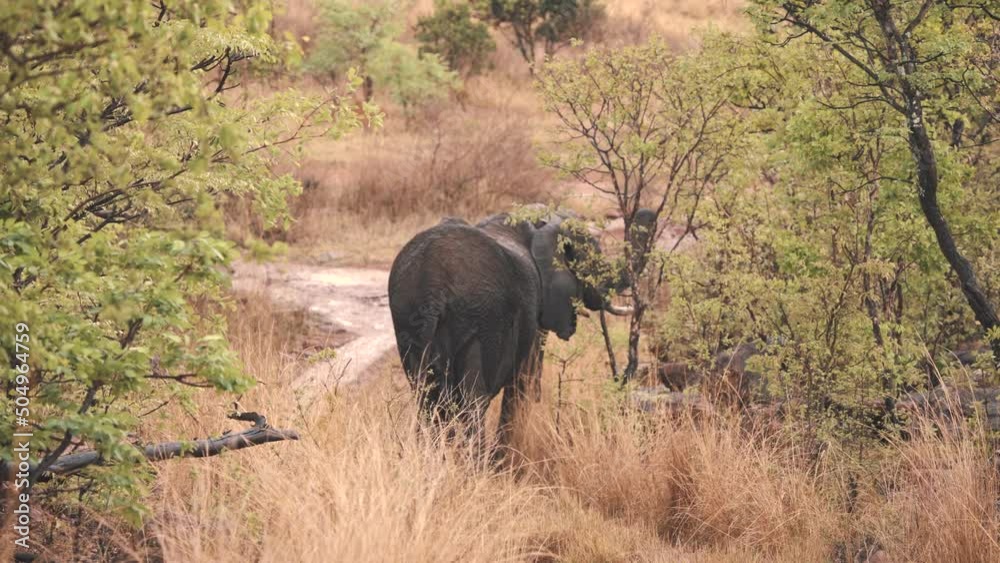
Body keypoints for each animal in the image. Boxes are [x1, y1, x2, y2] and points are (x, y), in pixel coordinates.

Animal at [387, 208, 639, 445]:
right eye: (593, 258)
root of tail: (434, 286)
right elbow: (524, 381)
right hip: (482, 320)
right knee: (472, 403)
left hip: (408, 324)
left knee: (428, 402)